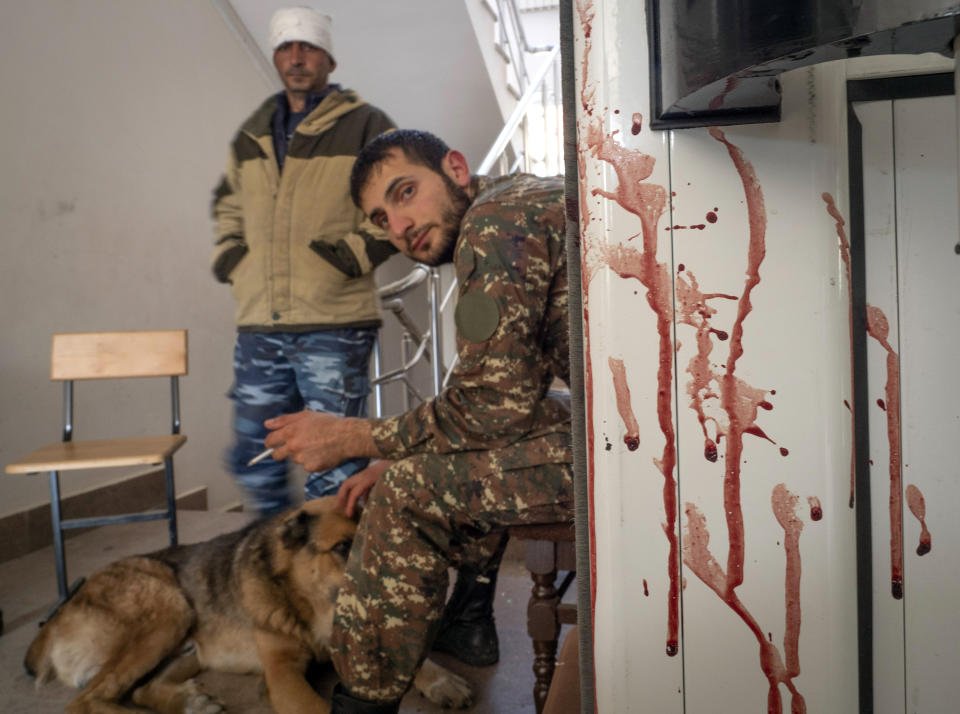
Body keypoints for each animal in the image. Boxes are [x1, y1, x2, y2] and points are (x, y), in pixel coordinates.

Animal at [22, 496, 472, 712]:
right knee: (84, 703)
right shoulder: (284, 675)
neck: (304, 604)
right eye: (344, 548)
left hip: (184, 647)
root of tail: (56, 617)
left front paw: (440, 679)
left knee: (137, 689)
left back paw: (190, 704)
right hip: (168, 606)